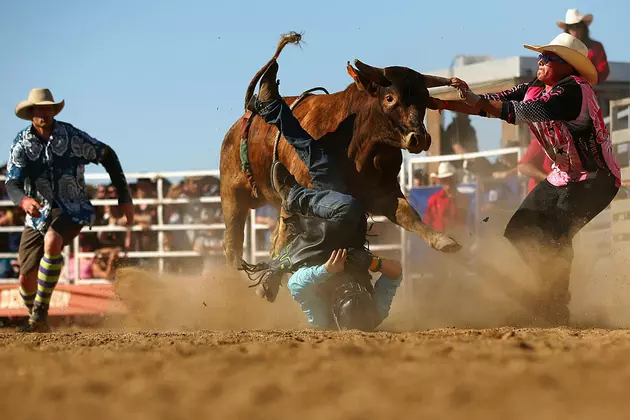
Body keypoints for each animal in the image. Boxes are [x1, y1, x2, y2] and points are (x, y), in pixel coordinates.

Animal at [222, 33, 464, 270]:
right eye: (390, 98)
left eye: (424, 100)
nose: (419, 138)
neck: (357, 146)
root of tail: (245, 116)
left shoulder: (383, 191)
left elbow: (408, 214)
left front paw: (443, 240)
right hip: (232, 195)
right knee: (234, 242)